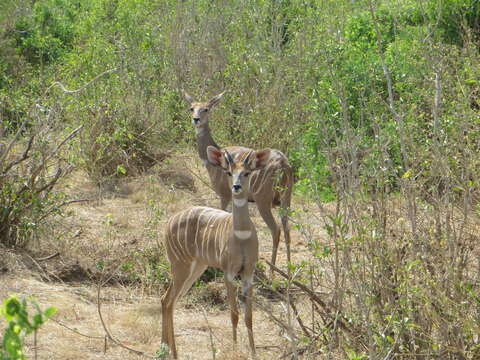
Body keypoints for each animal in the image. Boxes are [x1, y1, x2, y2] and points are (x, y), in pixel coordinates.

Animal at [159, 145, 268, 358]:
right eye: (229, 172)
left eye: (247, 172)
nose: (236, 187)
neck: (242, 236)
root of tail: (169, 223)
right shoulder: (229, 272)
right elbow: (234, 314)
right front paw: (234, 350)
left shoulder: (248, 273)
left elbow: (249, 316)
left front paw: (253, 353)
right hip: (180, 265)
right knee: (168, 300)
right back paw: (173, 352)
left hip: (195, 268)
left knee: (168, 300)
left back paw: (165, 347)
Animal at [182, 90, 292, 270]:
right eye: (192, 108)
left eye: (206, 109)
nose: (196, 119)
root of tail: (283, 164)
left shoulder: (224, 195)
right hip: (286, 199)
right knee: (288, 230)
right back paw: (289, 271)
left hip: (263, 201)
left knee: (276, 230)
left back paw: (272, 271)